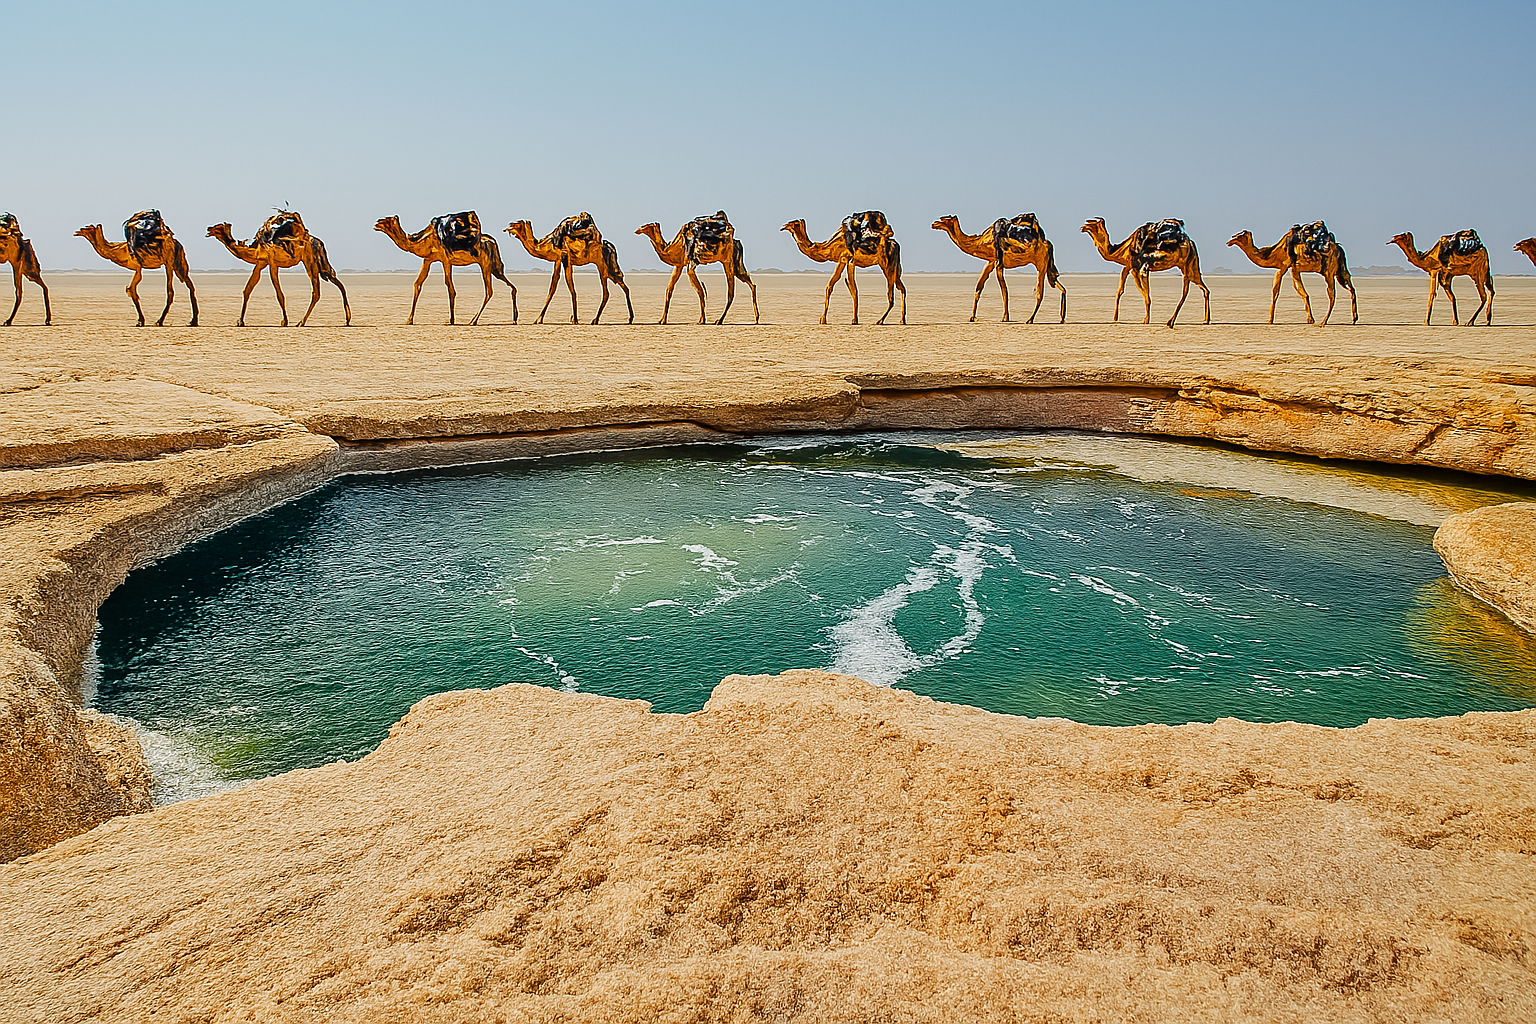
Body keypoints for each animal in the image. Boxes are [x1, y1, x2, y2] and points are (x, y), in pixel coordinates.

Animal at [207, 211, 351, 327]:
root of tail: (317, 241)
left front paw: (284, 321)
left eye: (218, 227)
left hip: (310, 261)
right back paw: (347, 319)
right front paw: (240, 321)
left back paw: (301, 322)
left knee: (317, 292)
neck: (256, 249)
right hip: (321, 262)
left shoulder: (272, 263)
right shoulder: (261, 263)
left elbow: (279, 294)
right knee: (336, 281)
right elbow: (247, 290)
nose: (208, 228)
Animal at [374, 212, 516, 325]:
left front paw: (451, 320)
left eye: (386, 220)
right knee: (510, 286)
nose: (376, 223)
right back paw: (514, 318)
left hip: (485, 263)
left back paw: (473, 321)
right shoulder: (428, 259)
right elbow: (417, 283)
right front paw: (409, 320)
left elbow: (449, 286)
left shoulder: (445, 258)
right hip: (494, 266)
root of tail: (492, 242)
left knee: (489, 291)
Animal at [931, 214, 1065, 323]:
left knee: (1040, 293)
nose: (934, 223)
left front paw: (1005, 317)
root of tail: (1047, 243)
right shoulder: (991, 261)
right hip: (1046, 265)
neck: (983, 241)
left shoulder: (999, 263)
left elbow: (1004, 290)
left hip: (1040, 263)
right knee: (1058, 285)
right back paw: (1062, 318)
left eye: (945, 219)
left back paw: (1030, 319)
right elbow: (979, 287)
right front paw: (972, 317)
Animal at [1227, 222, 1357, 325]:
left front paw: (1270, 320)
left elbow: (1276, 291)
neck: (1275, 252)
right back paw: (1354, 319)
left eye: (1238, 236)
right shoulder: (1293, 268)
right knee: (1351, 288)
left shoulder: (1286, 267)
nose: (1229, 241)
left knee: (1332, 294)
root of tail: (1339, 249)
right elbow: (1301, 292)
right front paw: (1310, 319)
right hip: (1341, 270)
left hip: (1328, 272)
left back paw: (1324, 322)